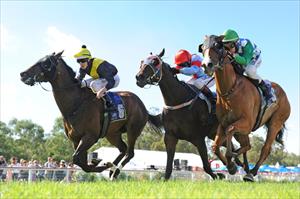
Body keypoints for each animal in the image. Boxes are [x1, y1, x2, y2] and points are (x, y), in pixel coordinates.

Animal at [19, 51, 162, 179]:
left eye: (45, 63)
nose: (22, 73)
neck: (76, 104)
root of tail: (142, 106)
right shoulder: (76, 139)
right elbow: (80, 161)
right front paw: (99, 163)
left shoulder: (90, 137)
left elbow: (77, 159)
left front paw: (99, 164)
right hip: (112, 134)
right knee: (123, 148)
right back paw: (112, 168)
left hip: (133, 129)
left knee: (129, 153)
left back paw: (115, 171)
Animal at [199, 35, 290, 181]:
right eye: (202, 48)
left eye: (218, 46)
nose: (206, 65)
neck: (230, 90)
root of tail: (284, 94)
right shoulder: (223, 123)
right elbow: (215, 146)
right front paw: (232, 165)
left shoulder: (246, 123)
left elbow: (231, 132)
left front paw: (231, 163)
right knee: (247, 145)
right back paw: (245, 168)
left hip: (276, 122)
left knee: (265, 148)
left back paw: (252, 172)